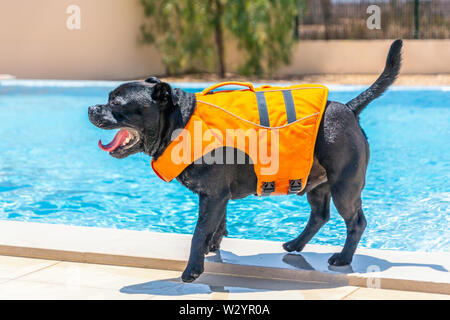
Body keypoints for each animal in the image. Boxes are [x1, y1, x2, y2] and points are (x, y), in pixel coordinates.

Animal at [87, 38, 400, 282]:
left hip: (344, 186)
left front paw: (192, 269)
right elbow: (217, 225)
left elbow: (198, 231)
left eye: (116, 103)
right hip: (318, 184)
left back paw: (343, 258)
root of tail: (348, 108)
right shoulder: (218, 196)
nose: (91, 108)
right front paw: (212, 247)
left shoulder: (212, 195)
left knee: (356, 222)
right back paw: (295, 244)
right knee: (319, 216)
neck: (180, 121)